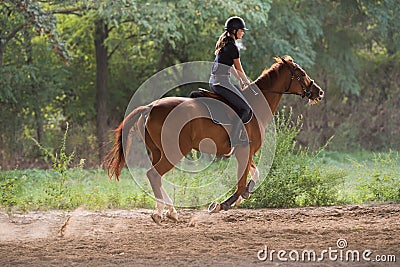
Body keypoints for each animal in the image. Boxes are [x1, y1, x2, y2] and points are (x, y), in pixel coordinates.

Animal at [104, 56, 324, 224]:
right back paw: (161, 213)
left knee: (156, 177)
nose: (319, 92)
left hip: (159, 152)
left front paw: (243, 196)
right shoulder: (244, 151)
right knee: (154, 174)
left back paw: (171, 212)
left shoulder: (246, 152)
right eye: (301, 74)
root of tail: (151, 107)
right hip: (174, 152)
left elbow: (255, 174)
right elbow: (241, 182)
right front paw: (223, 204)